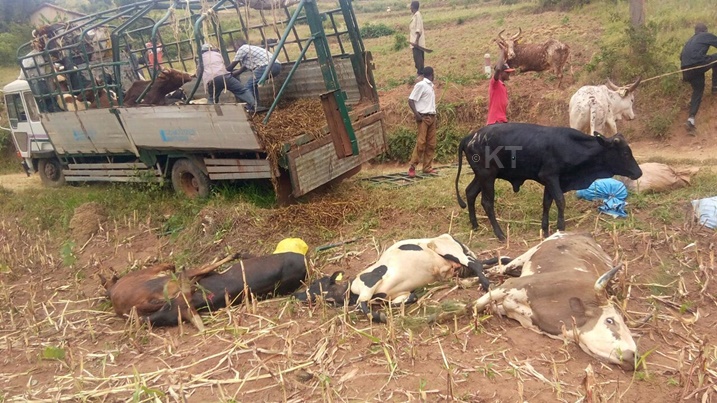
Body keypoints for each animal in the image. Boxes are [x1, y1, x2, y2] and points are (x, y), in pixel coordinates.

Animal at [292, 235, 510, 324]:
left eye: (315, 284)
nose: (296, 295)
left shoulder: (370, 282)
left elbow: (362, 306)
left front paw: (379, 317)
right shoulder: (400, 294)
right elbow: (408, 299)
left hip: (448, 250)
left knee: (476, 265)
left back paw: (488, 284)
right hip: (460, 267)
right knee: (482, 263)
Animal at [454, 123, 644, 241]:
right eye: (625, 153)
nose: (639, 172)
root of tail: (470, 137)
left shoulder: (550, 181)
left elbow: (547, 202)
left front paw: (545, 230)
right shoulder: (550, 177)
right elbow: (560, 201)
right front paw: (561, 227)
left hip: (481, 176)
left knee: (470, 193)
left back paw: (475, 225)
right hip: (487, 176)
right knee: (487, 202)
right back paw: (499, 234)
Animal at [472, 232, 636, 370]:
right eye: (610, 320)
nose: (635, 355)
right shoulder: (513, 284)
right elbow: (475, 305)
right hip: (529, 253)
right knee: (501, 268)